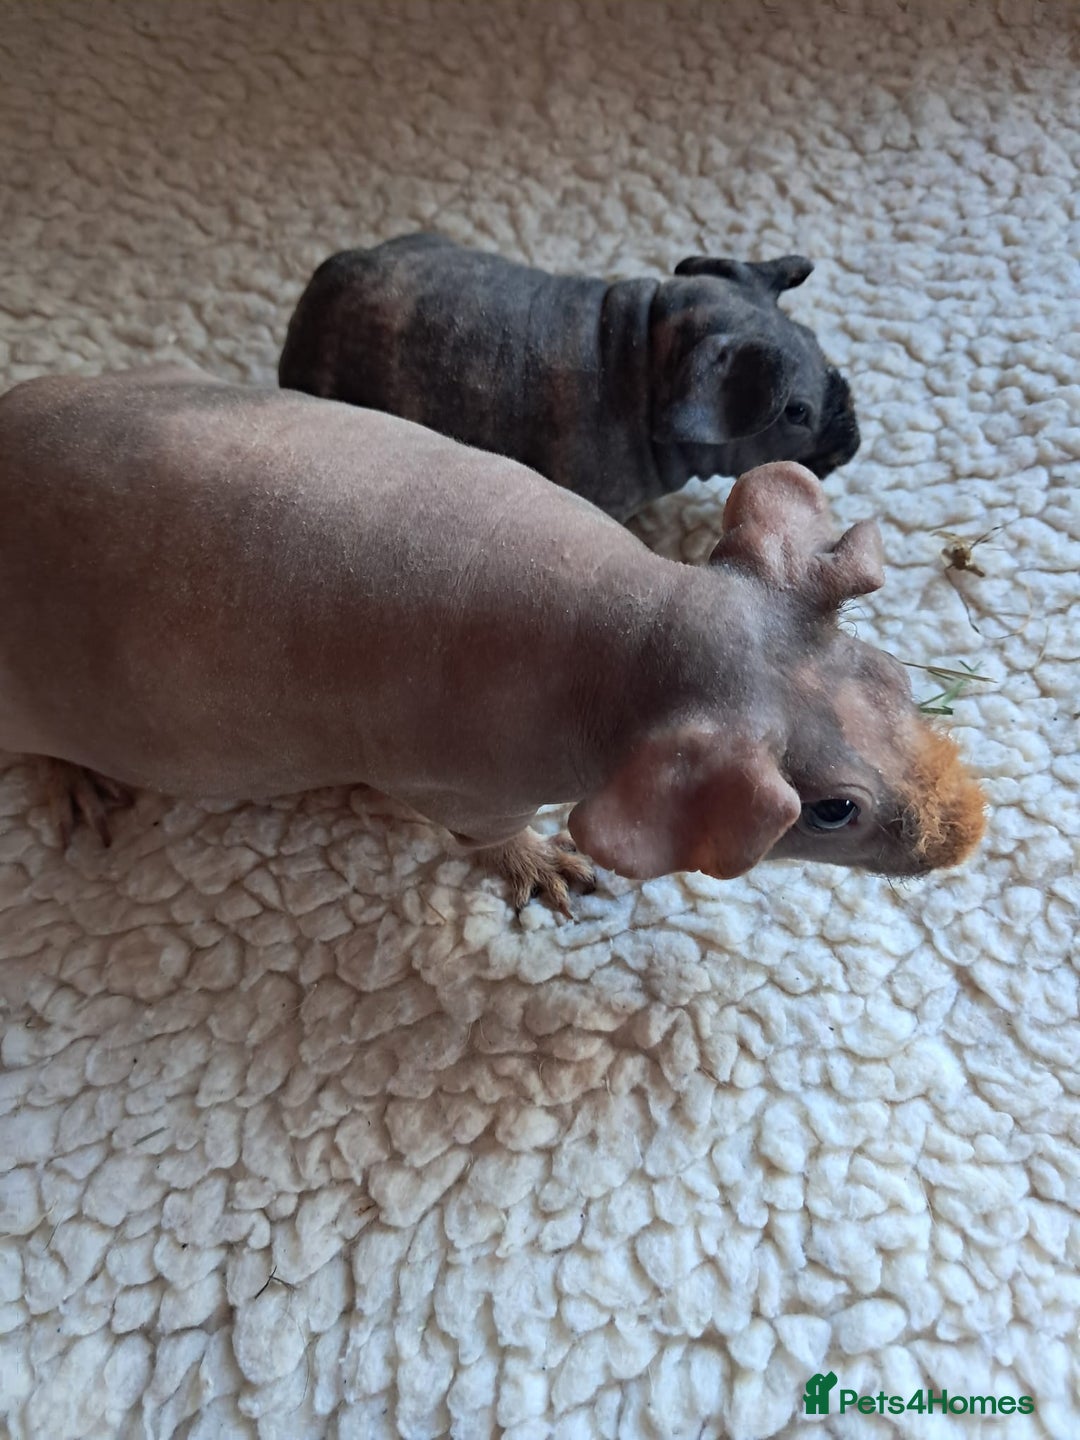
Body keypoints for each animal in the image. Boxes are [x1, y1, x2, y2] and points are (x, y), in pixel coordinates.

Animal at [0, 367, 983, 914]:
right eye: (833, 811)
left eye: (894, 678)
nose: (968, 834)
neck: (646, 629)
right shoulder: (459, 783)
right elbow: (485, 836)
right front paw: (545, 865)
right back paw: (71, 780)